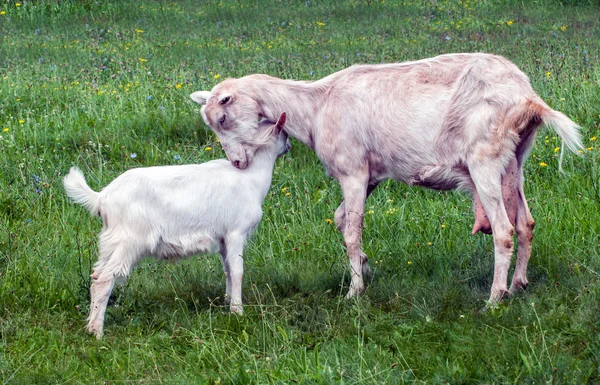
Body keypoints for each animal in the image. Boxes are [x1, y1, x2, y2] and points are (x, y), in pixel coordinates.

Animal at [191, 54, 580, 306]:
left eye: (223, 118)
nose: (237, 162)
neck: (316, 106)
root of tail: (526, 97)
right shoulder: (371, 176)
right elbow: (341, 218)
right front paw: (364, 266)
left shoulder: (352, 170)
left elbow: (351, 230)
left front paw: (354, 291)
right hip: (516, 159)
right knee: (526, 222)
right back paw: (518, 285)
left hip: (484, 160)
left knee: (503, 230)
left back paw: (495, 299)